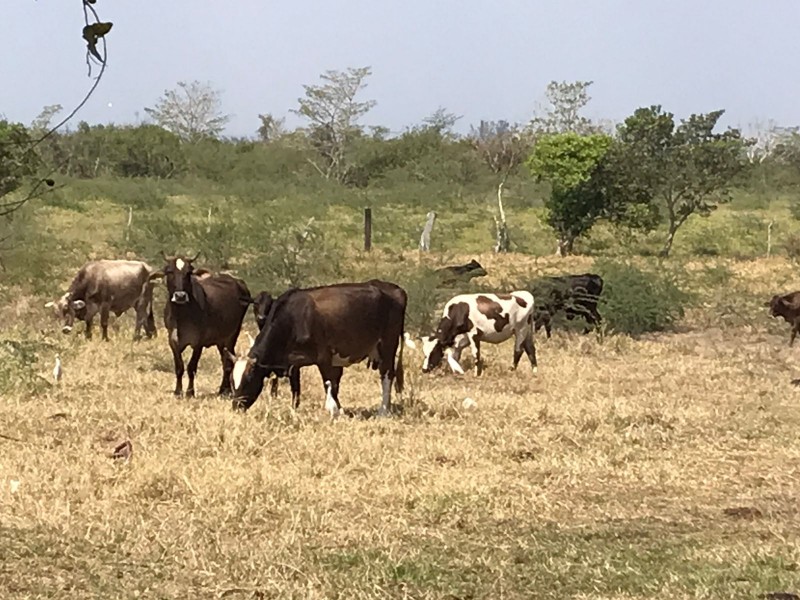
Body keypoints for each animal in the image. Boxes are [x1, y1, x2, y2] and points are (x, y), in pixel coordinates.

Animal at [149, 253, 250, 398]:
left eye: (189, 272)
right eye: (169, 271)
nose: (180, 296)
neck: (181, 316)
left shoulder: (199, 343)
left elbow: (191, 367)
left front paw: (190, 392)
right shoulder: (172, 340)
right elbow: (179, 367)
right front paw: (178, 392)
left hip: (232, 335)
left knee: (228, 363)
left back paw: (226, 391)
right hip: (220, 340)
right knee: (225, 360)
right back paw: (223, 390)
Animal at [230, 278, 406, 414]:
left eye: (248, 379)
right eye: (232, 381)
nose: (235, 406)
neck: (294, 318)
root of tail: (395, 289)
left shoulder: (325, 358)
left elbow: (330, 385)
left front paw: (335, 410)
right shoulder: (292, 362)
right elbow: (296, 389)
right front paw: (295, 410)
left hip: (388, 345)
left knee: (387, 375)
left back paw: (383, 410)